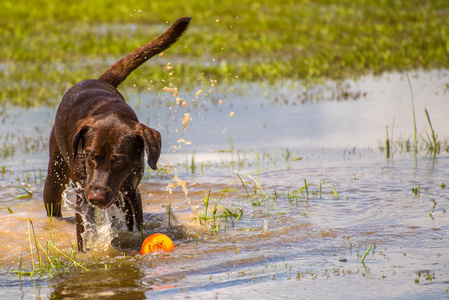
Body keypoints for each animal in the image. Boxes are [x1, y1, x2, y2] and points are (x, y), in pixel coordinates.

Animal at [42, 16, 189, 251]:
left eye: (118, 160)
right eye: (90, 156)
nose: (97, 196)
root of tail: (100, 79)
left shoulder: (131, 192)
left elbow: (134, 227)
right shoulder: (83, 193)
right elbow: (84, 232)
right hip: (55, 176)